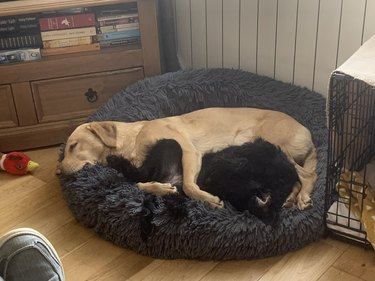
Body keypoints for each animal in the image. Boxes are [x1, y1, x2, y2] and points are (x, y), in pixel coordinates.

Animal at [61, 106, 318, 209]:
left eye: (74, 145)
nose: (59, 172)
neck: (133, 140)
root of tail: (309, 133)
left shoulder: (189, 152)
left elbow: (188, 185)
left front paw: (209, 200)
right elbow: (141, 184)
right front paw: (161, 189)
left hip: (275, 147)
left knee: (308, 175)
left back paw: (303, 198)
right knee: (295, 179)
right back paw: (289, 200)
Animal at [106, 137, 300, 221]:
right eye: (279, 183)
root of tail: (170, 179)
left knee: (140, 179)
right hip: (170, 144)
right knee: (140, 175)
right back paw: (114, 160)